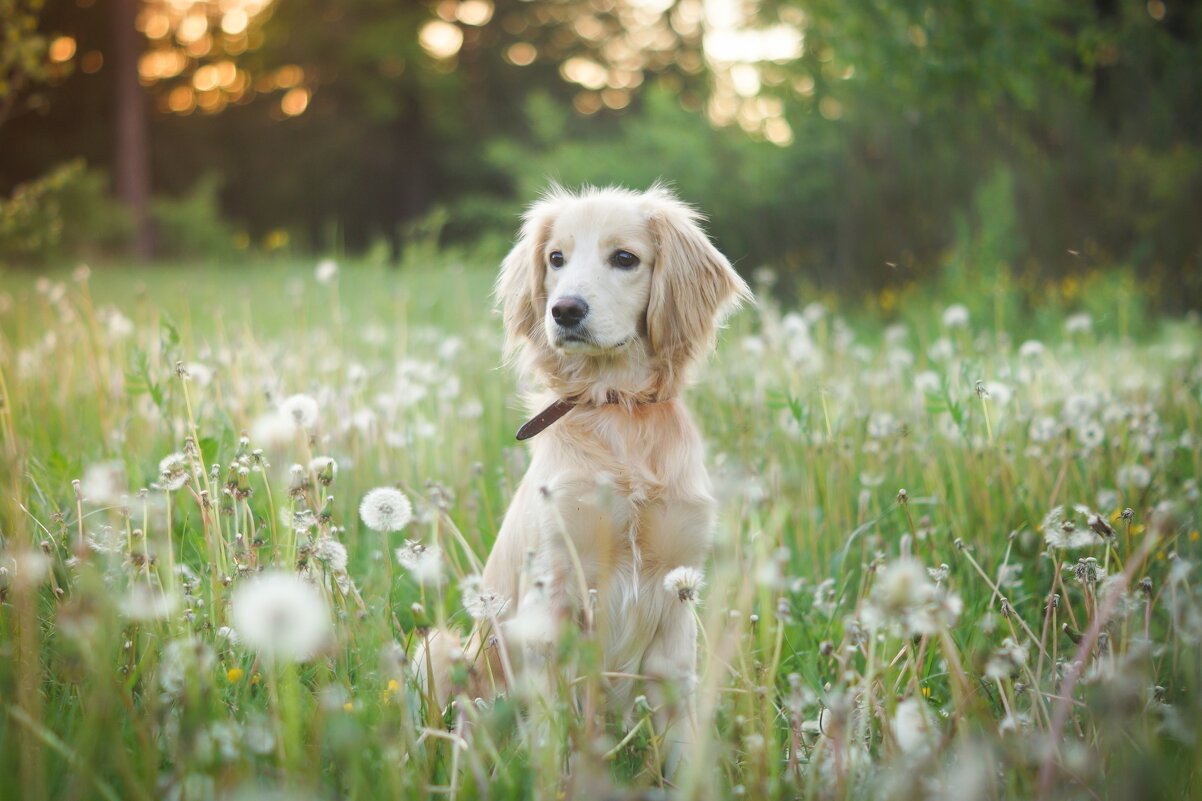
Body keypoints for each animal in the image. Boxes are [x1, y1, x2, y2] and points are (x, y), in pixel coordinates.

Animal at [418, 182, 745, 769]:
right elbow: (553, 742)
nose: (565, 310)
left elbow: (683, 743)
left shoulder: (675, 604)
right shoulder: (553, 596)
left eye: (625, 259)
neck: (618, 411)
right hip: (438, 649)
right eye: (556, 259)